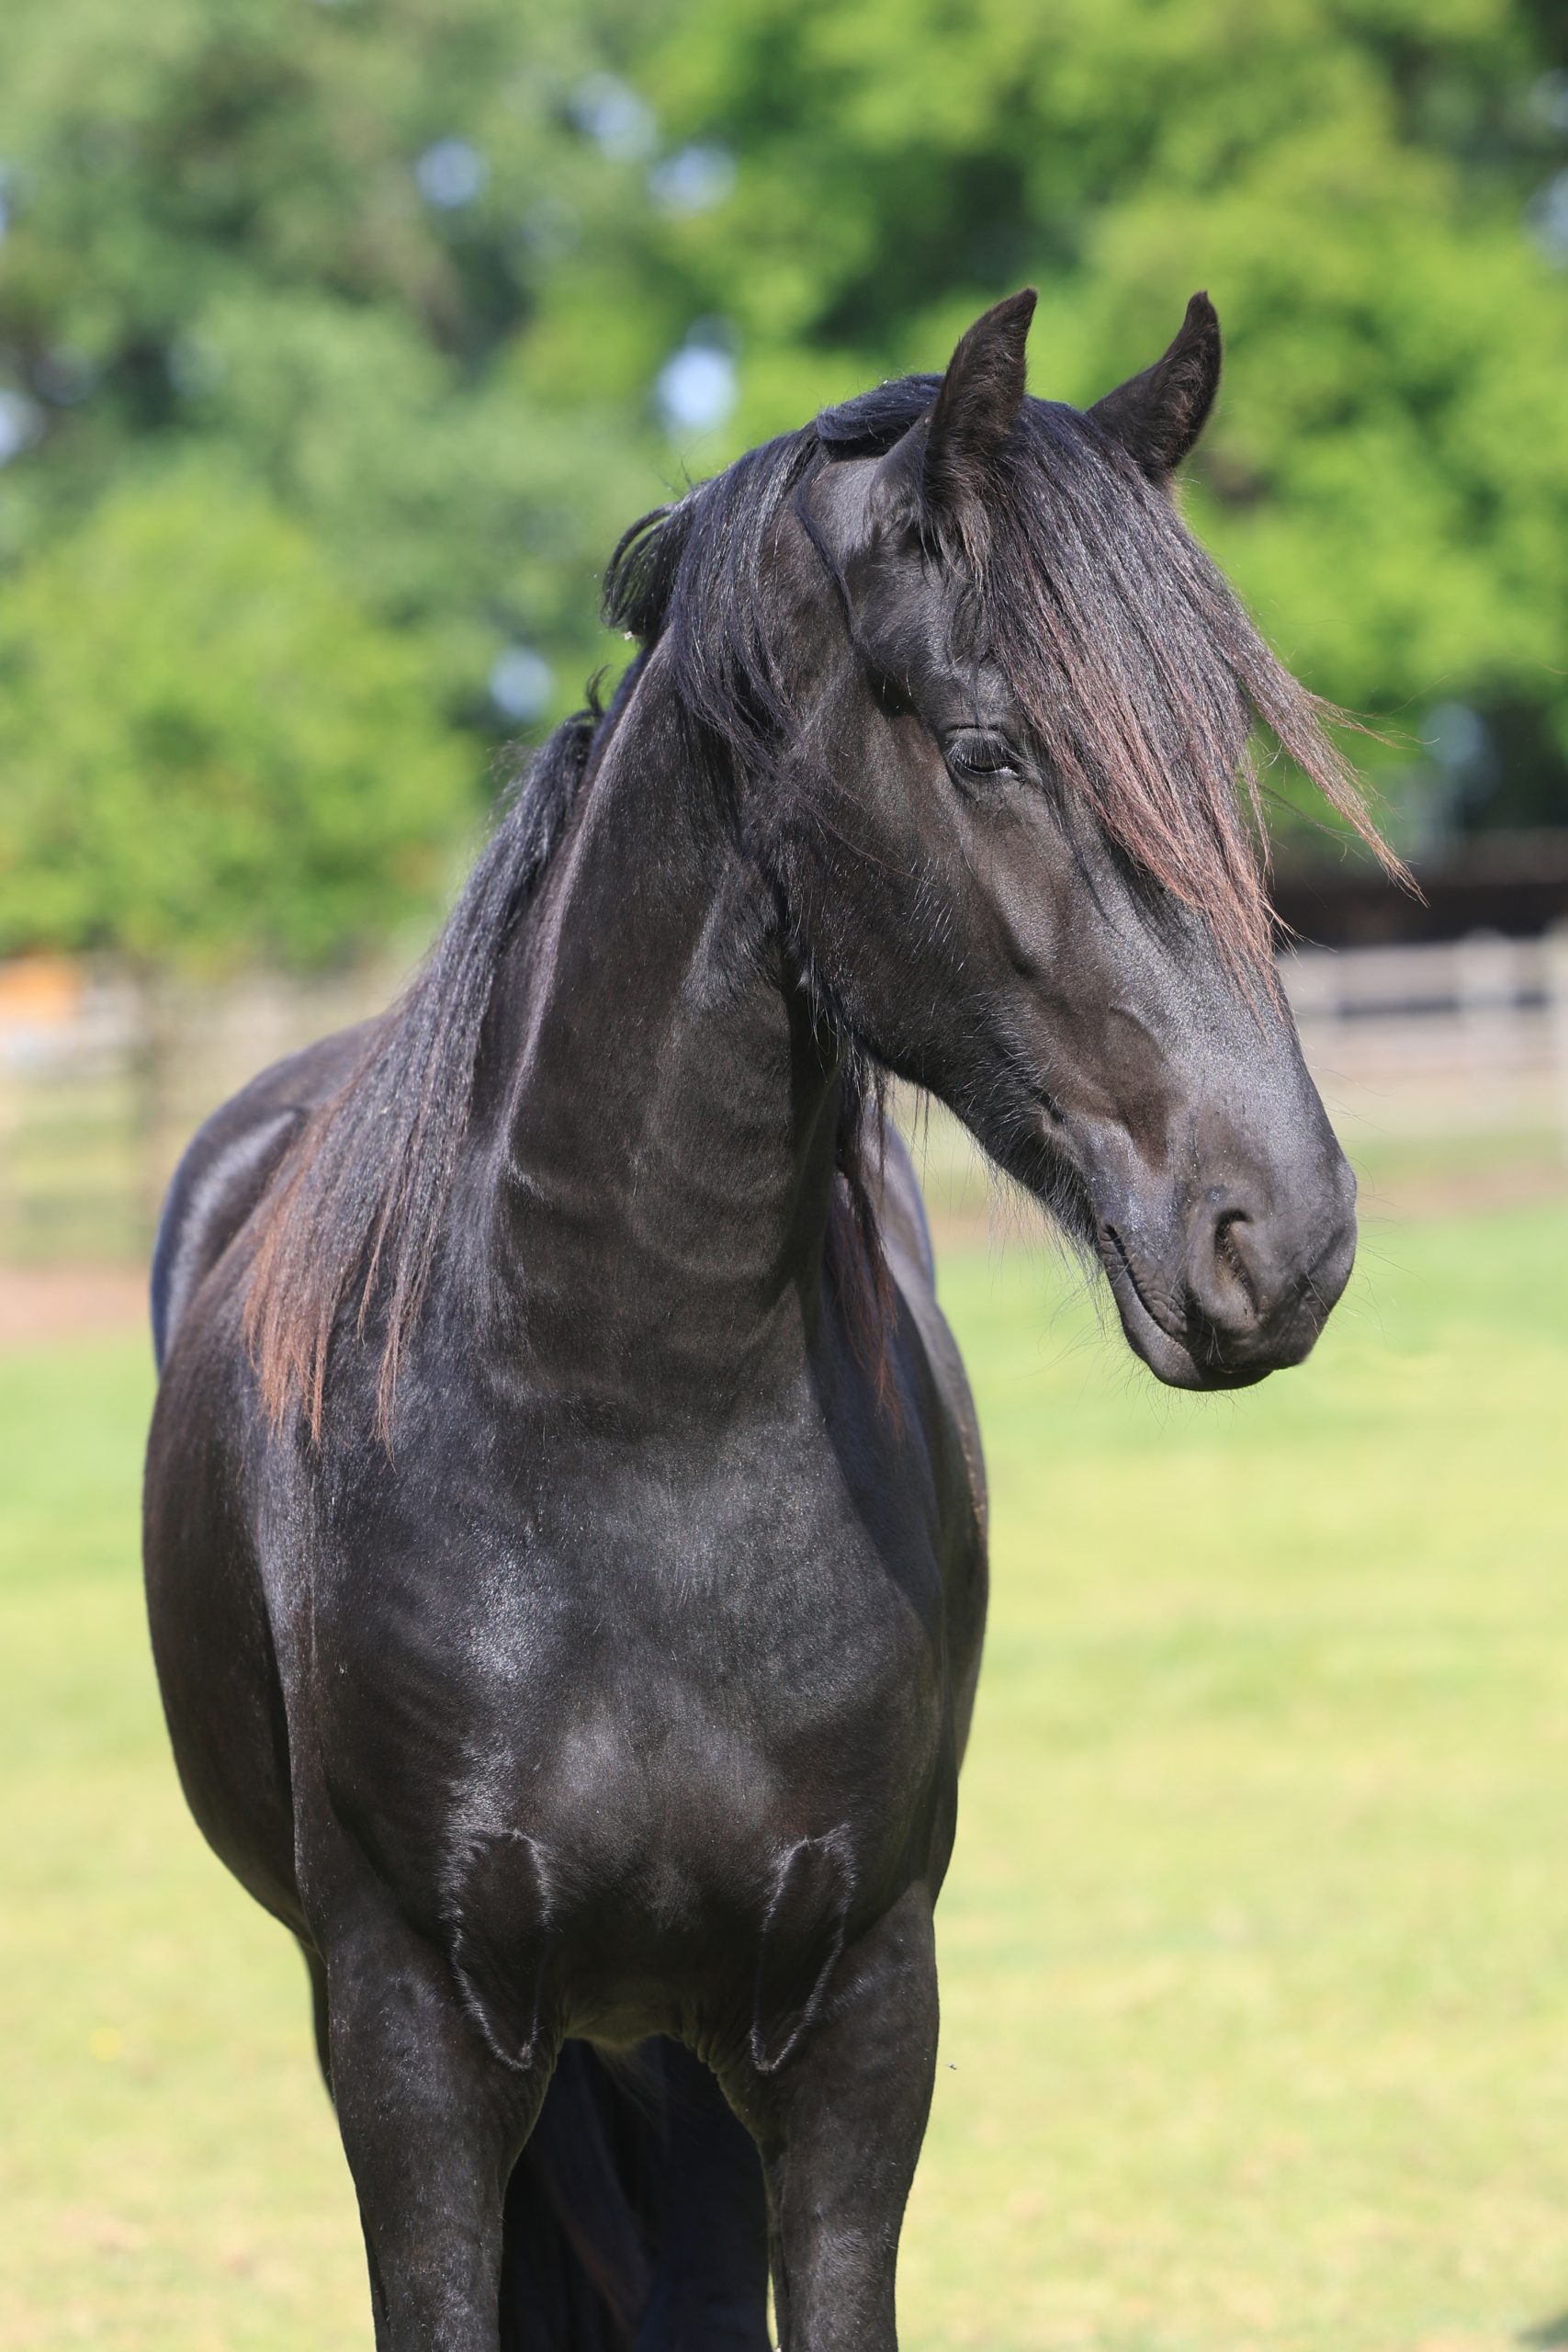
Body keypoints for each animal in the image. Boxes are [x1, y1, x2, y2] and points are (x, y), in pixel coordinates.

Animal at [144, 287, 1388, 2352]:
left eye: (1224, 751)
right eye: (990, 751)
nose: (1274, 1235)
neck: (622, 1422)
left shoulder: (858, 2021)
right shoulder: (407, 2042)